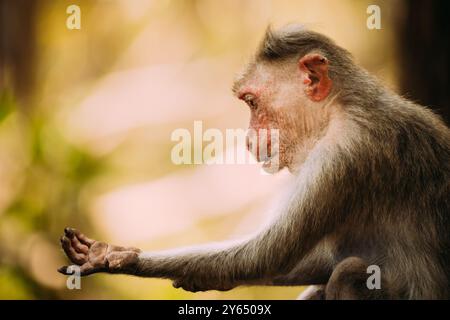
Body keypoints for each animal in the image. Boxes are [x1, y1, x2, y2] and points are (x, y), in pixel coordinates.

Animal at [58, 25, 448, 300]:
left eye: (252, 102)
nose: (247, 139)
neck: (339, 109)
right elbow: (313, 259)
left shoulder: (343, 155)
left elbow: (266, 255)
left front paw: (121, 258)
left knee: (350, 271)